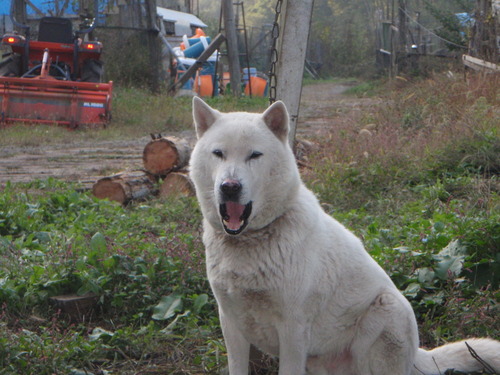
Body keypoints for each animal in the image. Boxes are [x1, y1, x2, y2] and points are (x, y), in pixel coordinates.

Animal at [188, 97, 500, 375]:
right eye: (218, 153)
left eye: (254, 155)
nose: (230, 186)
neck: (250, 242)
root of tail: (417, 355)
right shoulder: (231, 323)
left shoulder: (293, 329)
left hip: (388, 308)